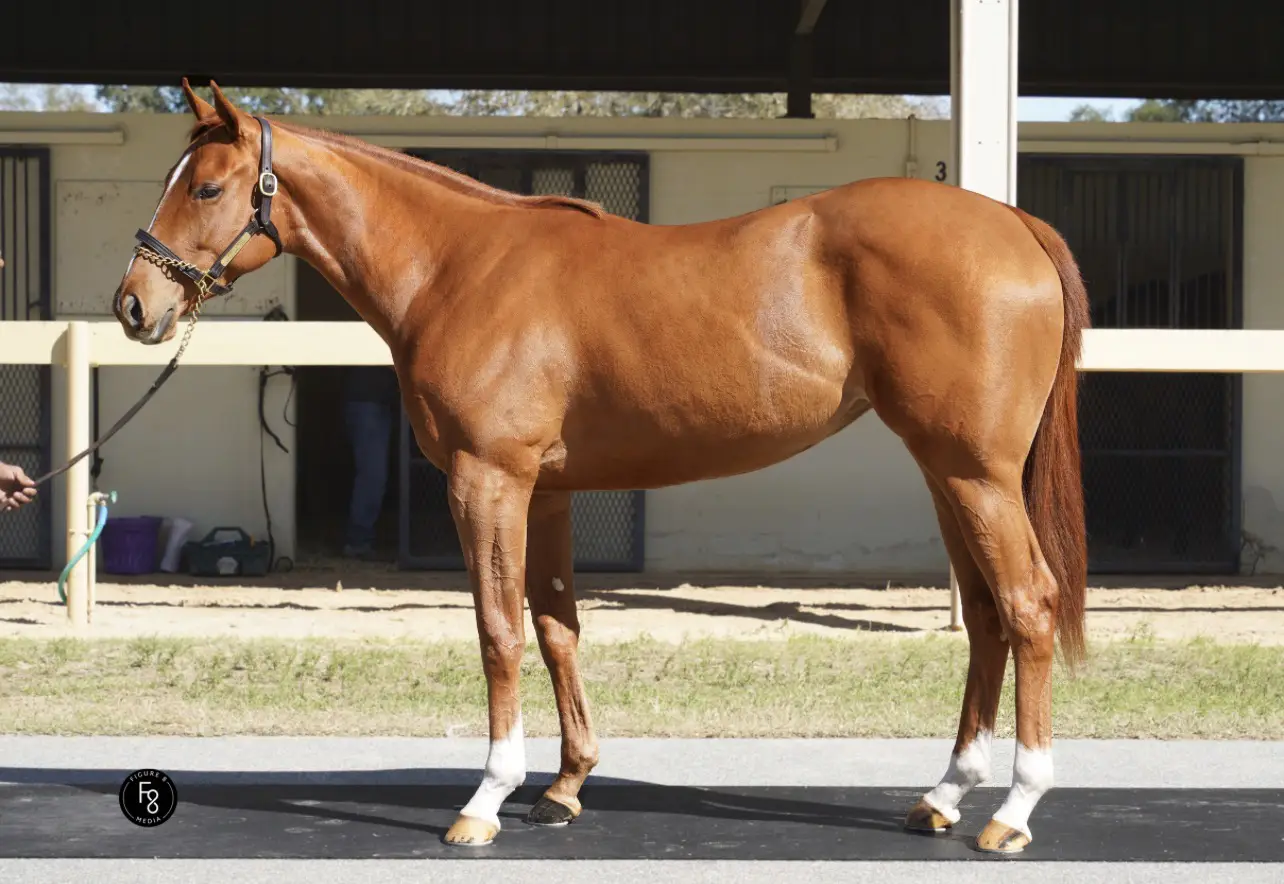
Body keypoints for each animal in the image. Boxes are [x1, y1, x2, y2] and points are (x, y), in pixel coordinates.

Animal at [112, 79, 1090, 855]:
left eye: (206, 185)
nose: (134, 305)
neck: (457, 268)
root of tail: (1014, 224)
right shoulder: (545, 493)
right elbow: (556, 628)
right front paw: (564, 787)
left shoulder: (487, 481)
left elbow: (498, 633)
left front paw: (486, 799)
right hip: (948, 474)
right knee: (990, 620)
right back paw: (943, 796)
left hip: (975, 475)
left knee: (1028, 606)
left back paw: (1014, 811)